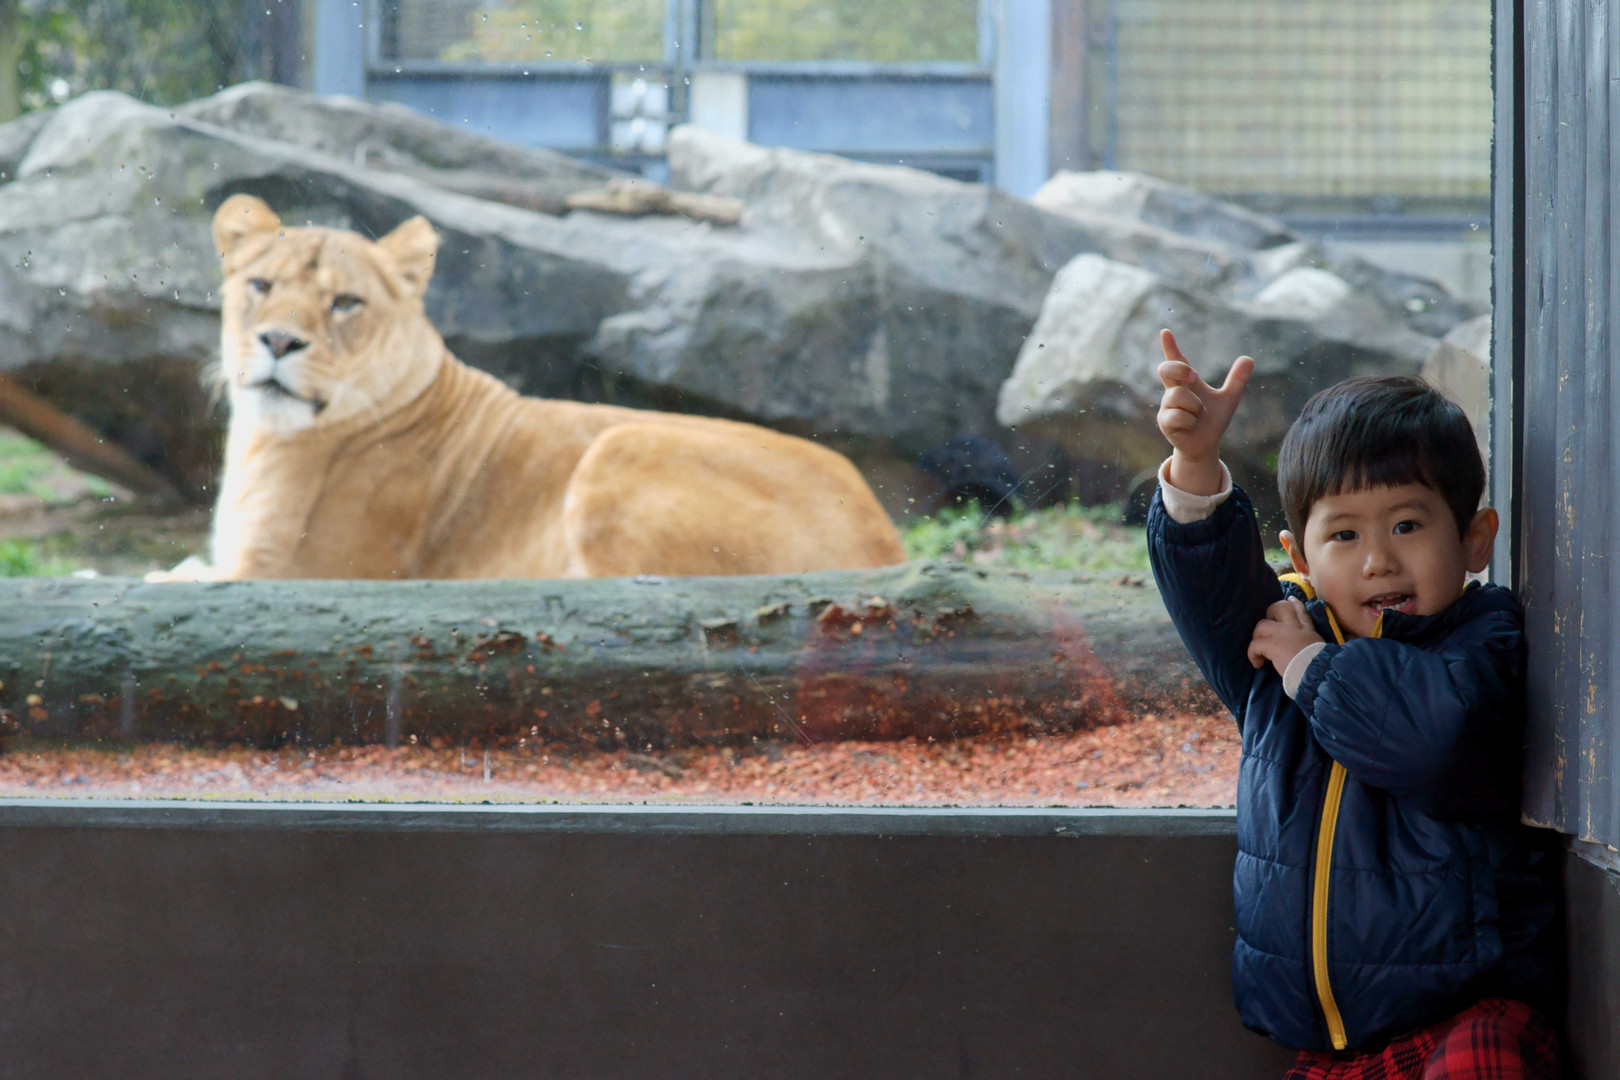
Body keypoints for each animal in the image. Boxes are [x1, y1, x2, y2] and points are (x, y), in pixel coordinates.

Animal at [174, 194, 906, 580]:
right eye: (260, 285)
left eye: (346, 303)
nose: (277, 342)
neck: (264, 437)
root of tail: (887, 542)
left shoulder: (298, 575)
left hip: (619, 443)